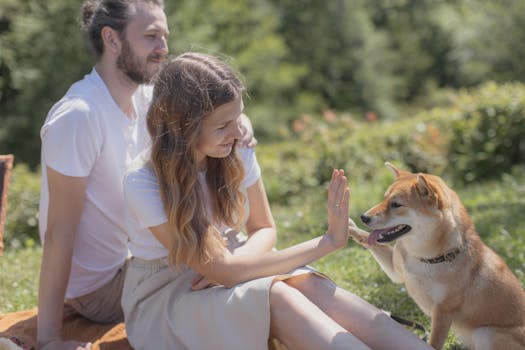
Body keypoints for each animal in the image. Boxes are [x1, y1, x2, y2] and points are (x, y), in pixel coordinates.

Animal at [348, 163, 524, 348]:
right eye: (384, 199)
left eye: (396, 204)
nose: (364, 217)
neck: (427, 258)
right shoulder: (397, 272)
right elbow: (369, 241)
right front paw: (350, 227)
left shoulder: (442, 311)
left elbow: (433, 343)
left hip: (485, 334)